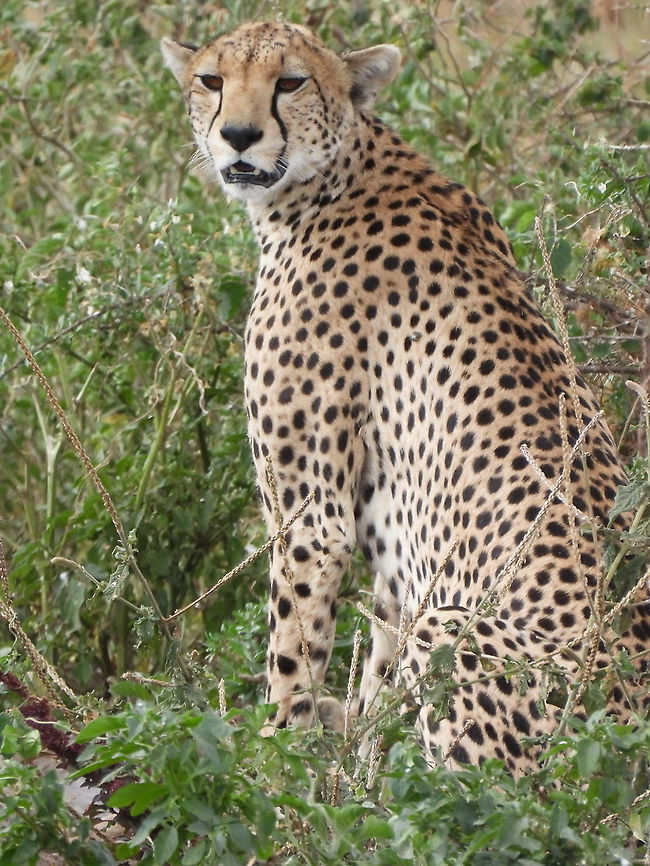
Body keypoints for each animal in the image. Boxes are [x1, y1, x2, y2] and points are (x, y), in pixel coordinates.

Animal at [161, 20, 650, 773]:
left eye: (291, 82)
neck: (332, 177)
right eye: (211, 80)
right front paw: (354, 769)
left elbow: (292, 656)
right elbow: (376, 685)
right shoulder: (394, 555)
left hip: (460, 635)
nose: (239, 136)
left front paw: (274, 763)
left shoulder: (312, 516)